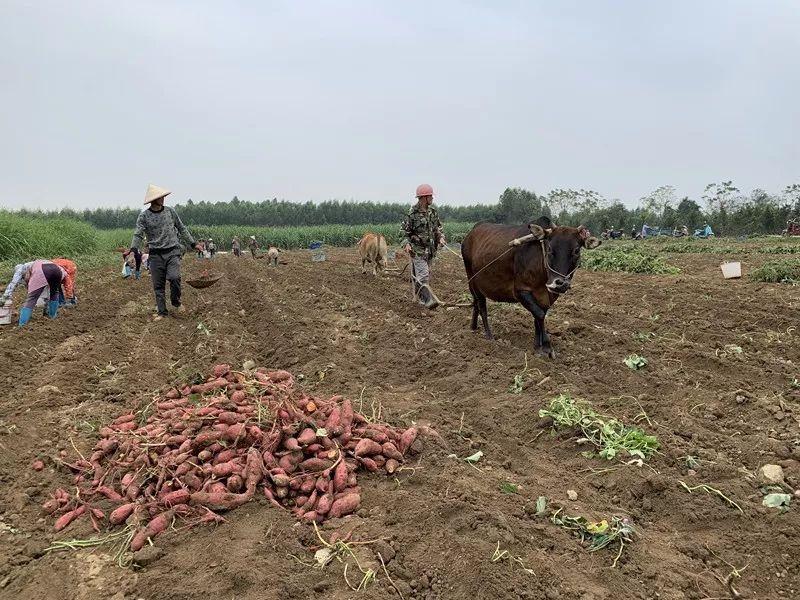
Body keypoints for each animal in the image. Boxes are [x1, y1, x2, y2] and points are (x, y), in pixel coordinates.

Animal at [462, 216, 600, 356]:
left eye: (576, 250)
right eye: (549, 249)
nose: (560, 284)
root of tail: (471, 232)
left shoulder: (547, 297)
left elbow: (538, 317)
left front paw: (538, 345)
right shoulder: (521, 291)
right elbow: (539, 314)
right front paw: (546, 346)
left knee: (475, 302)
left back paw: (473, 327)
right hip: (472, 280)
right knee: (481, 305)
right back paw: (489, 336)